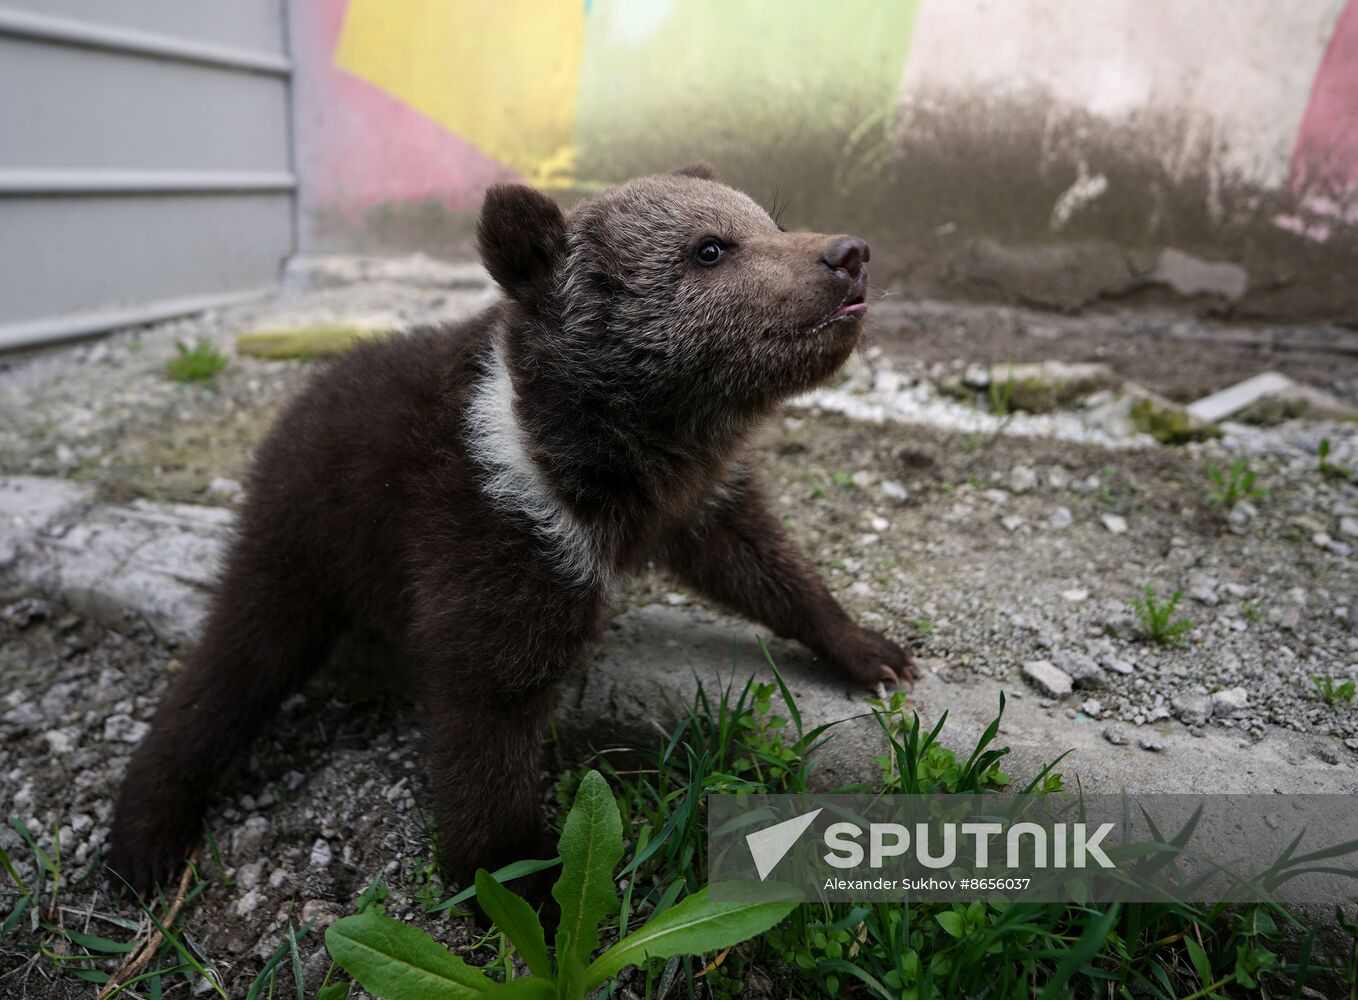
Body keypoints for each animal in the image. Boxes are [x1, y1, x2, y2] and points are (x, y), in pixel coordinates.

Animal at [109, 164, 918, 901]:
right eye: (710, 249)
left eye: (769, 221)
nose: (849, 253)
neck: (611, 456)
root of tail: (295, 403)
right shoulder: (497, 525)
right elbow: (489, 706)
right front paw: (522, 877)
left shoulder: (697, 497)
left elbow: (763, 565)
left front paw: (871, 651)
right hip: (308, 529)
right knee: (240, 658)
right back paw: (145, 837)